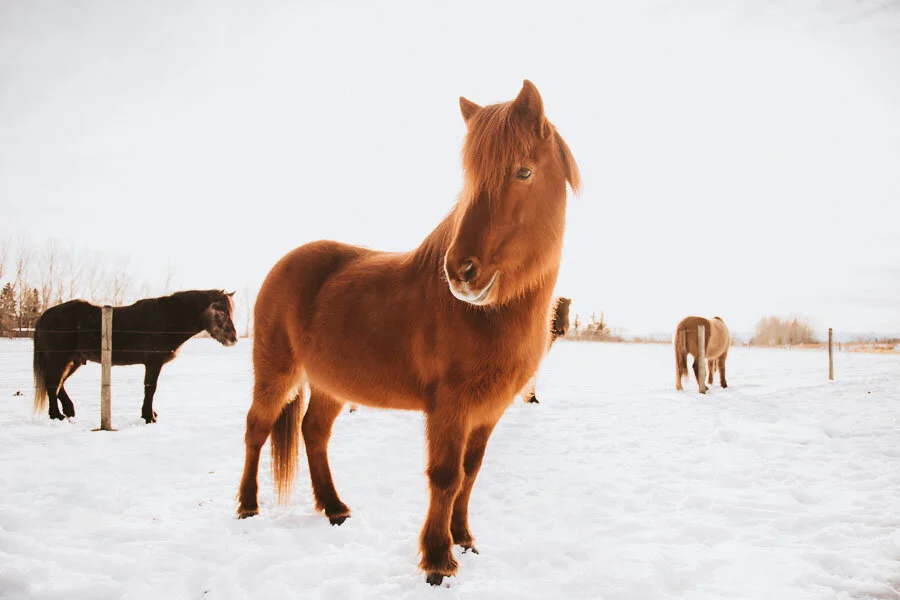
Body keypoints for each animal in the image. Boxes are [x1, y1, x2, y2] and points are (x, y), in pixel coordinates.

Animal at [33, 290, 237, 422]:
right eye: (220, 311)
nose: (233, 338)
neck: (167, 318)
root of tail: (43, 317)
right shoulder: (153, 363)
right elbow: (150, 388)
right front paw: (149, 416)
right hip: (59, 359)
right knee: (53, 384)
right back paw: (56, 415)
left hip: (72, 360)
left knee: (59, 383)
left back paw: (68, 410)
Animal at [236, 80, 580, 585]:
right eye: (470, 177)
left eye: (524, 172)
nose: (461, 272)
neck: (482, 315)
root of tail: (286, 262)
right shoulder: (449, 407)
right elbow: (445, 475)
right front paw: (437, 559)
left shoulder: (488, 410)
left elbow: (470, 472)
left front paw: (465, 539)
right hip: (276, 372)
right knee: (256, 429)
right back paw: (247, 506)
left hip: (329, 384)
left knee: (313, 432)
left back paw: (335, 508)